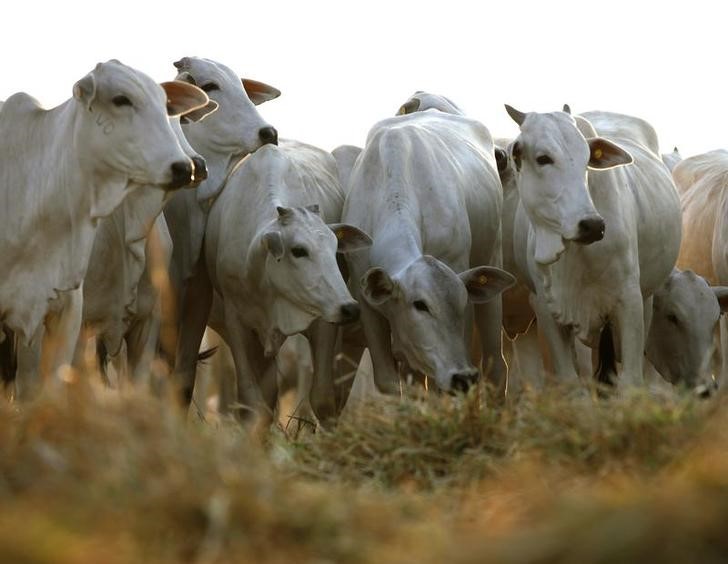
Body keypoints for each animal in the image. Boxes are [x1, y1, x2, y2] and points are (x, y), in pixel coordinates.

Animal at [175, 139, 370, 426]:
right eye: (299, 250)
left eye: (336, 249)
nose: (350, 308)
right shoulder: (238, 322)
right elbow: (252, 400)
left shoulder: (324, 320)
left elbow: (323, 398)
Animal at [344, 108, 516, 394]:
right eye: (420, 304)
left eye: (461, 301)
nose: (463, 377)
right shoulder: (366, 300)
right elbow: (390, 381)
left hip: (492, 257)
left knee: (496, 367)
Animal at [506, 106, 684, 388]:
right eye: (543, 158)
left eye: (586, 159)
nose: (592, 225)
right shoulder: (545, 305)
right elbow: (569, 378)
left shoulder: (629, 299)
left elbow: (631, 379)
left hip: (646, 298)